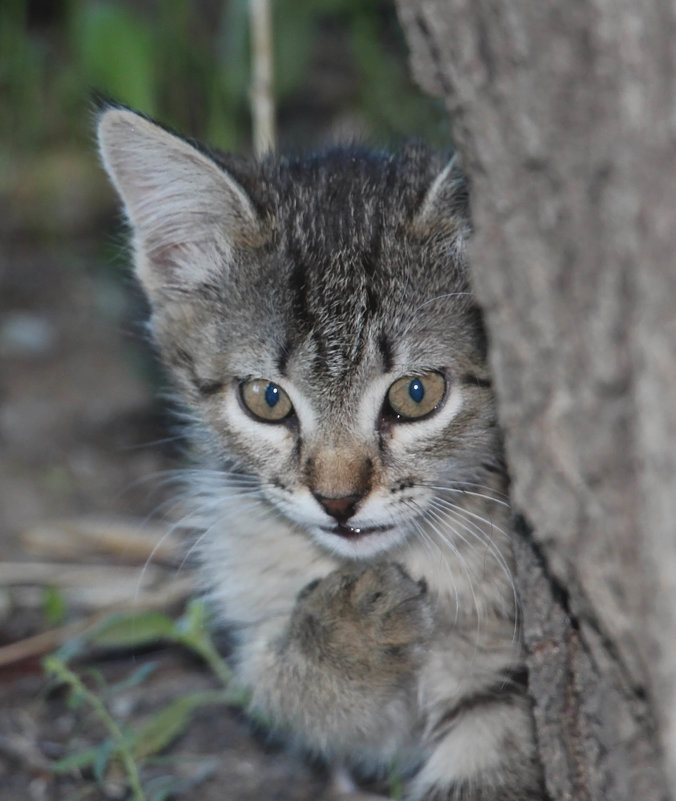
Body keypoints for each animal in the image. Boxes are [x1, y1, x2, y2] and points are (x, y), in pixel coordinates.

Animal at [99, 108, 544, 800]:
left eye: (418, 393)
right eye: (266, 399)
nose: (337, 501)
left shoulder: (506, 691)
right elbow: (277, 687)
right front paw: (343, 637)